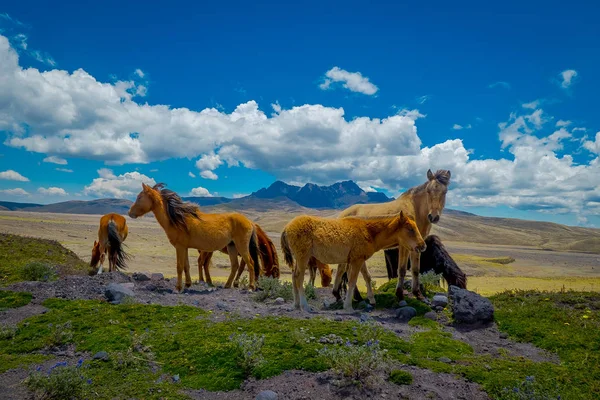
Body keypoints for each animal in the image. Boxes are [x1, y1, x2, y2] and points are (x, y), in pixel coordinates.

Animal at [129, 183, 260, 292]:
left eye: (139, 197)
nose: (130, 213)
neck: (178, 220)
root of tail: (249, 221)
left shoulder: (180, 247)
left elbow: (179, 266)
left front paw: (178, 288)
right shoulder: (185, 248)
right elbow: (186, 266)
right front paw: (187, 284)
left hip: (241, 246)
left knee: (250, 263)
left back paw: (250, 287)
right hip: (231, 246)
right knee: (234, 265)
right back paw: (227, 286)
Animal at [282, 212, 426, 312]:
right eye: (410, 228)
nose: (423, 246)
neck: (369, 232)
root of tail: (287, 227)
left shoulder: (359, 259)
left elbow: (367, 277)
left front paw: (372, 300)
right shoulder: (356, 261)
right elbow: (352, 281)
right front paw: (348, 307)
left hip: (299, 259)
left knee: (294, 276)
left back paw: (296, 305)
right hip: (303, 257)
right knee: (299, 278)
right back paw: (304, 306)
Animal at [338, 167, 450, 302]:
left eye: (445, 192)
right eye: (428, 191)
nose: (433, 217)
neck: (415, 210)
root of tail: (342, 215)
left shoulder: (416, 245)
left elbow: (415, 269)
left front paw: (418, 294)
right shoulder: (404, 245)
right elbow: (401, 269)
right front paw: (400, 294)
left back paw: (357, 297)